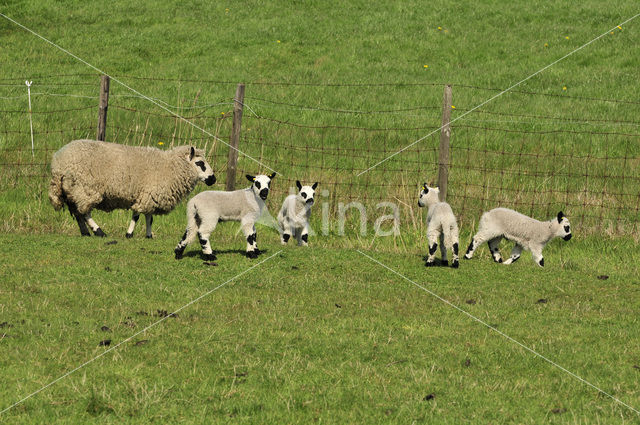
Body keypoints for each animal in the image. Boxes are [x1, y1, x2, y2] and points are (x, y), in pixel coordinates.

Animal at [48, 140, 218, 237]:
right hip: (85, 188)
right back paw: (99, 231)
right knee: (85, 212)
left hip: (72, 189)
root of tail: (58, 163)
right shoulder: (146, 195)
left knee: (77, 212)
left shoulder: (150, 196)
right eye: (200, 163)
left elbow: (149, 217)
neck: (170, 167)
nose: (213, 179)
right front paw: (129, 233)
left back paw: (85, 233)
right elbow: (137, 215)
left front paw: (148, 235)